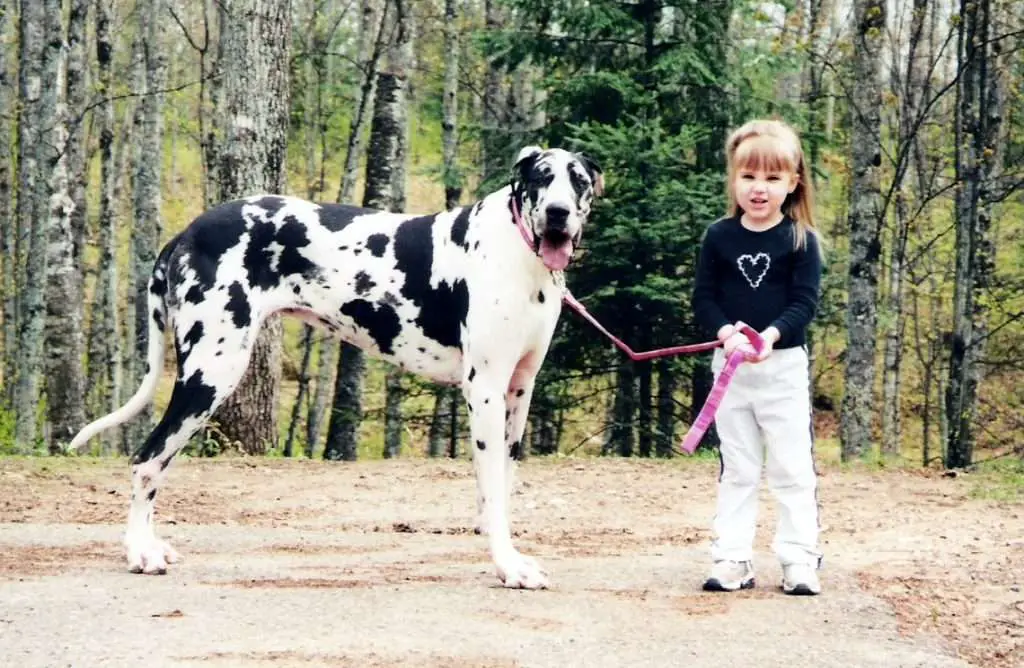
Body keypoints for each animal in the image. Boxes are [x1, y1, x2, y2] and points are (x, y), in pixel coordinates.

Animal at [70, 146, 598, 590]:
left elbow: (502, 487)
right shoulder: (484, 389)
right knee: (147, 459)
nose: (558, 212)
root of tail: (188, 231)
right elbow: (491, 485)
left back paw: (150, 545)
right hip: (210, 374)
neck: (519, 255)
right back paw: (140, 553)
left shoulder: (518, 391)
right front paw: (509, 567)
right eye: (541, 177)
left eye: (578, 181)